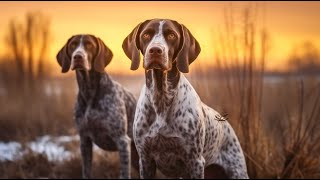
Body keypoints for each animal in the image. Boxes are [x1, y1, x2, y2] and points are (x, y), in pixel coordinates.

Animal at [56, 34, 139, 179]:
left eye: (89, 45)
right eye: (73, 45)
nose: (78, 57)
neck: (89, 92)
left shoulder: (122, 141)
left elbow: (124, 174)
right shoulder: (84, 141)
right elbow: (86, 171)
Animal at [121, 19, 249, 179]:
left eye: (171, 35)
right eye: (146, 35)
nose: (155, 50)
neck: (161, 97)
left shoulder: (195, 161)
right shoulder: (145, 160)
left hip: (237, 170)